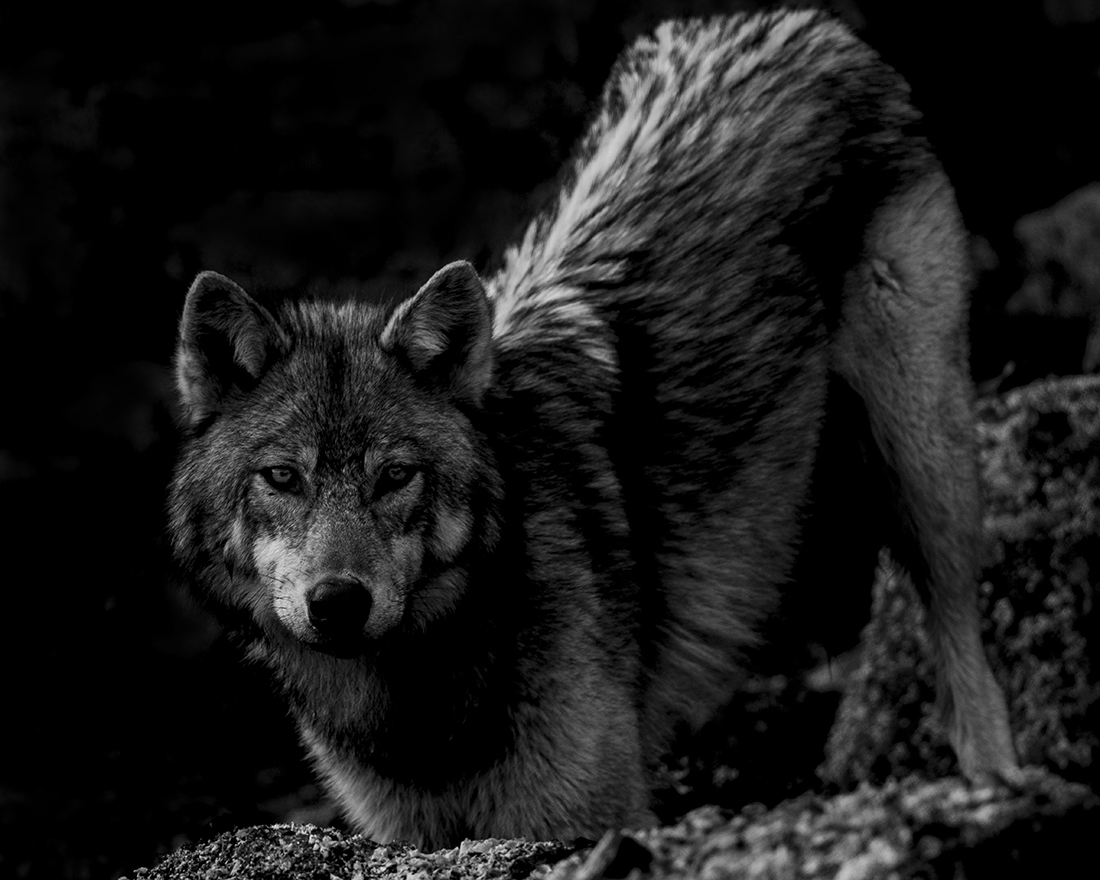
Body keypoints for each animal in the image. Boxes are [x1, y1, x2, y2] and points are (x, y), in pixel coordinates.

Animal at [169, 7, 1020, 848]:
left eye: (396, 475)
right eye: (283, 477)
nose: (337, 601)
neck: (422, 694)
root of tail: (786, 18)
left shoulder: (589, 817)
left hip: (923, 468)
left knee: (963, 652)